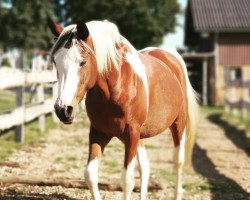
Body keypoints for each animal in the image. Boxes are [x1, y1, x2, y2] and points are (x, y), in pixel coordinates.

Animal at [47, 19, 198, 200]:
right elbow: (90, 174)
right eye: (55, 62)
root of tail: (171, 57)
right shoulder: (99, 132)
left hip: (178, 125)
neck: (117, 86)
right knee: (145, 167)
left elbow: (127, 180)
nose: (63, 110)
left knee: (178, 162)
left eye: (83, 61)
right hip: (140, 136)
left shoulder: (131, 133)